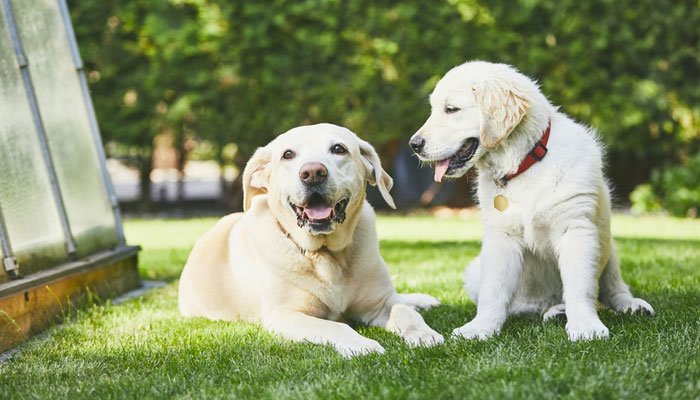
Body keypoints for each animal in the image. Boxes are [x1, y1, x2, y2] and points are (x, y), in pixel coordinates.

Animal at [179, 122, 442, 356]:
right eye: (287, 154)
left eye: (338, 149)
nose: (313, 172)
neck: (326, 254)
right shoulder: (285, 315)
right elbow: (336, 325)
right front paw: (361, 344)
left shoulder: (381, 302)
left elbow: (403, 310)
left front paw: (423, 333)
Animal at [408, 61, 652, 342]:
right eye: (434, 109)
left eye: (451, 109)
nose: (414, 144)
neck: (523, 164)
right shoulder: (501, 237)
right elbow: (494, 289)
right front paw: (481, 327)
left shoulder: (576, 229)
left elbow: (580, 286)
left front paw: (585, 325)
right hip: (475, 272)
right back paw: (555, 310)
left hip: (607, 245)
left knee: (613, 288)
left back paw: (629, 305)